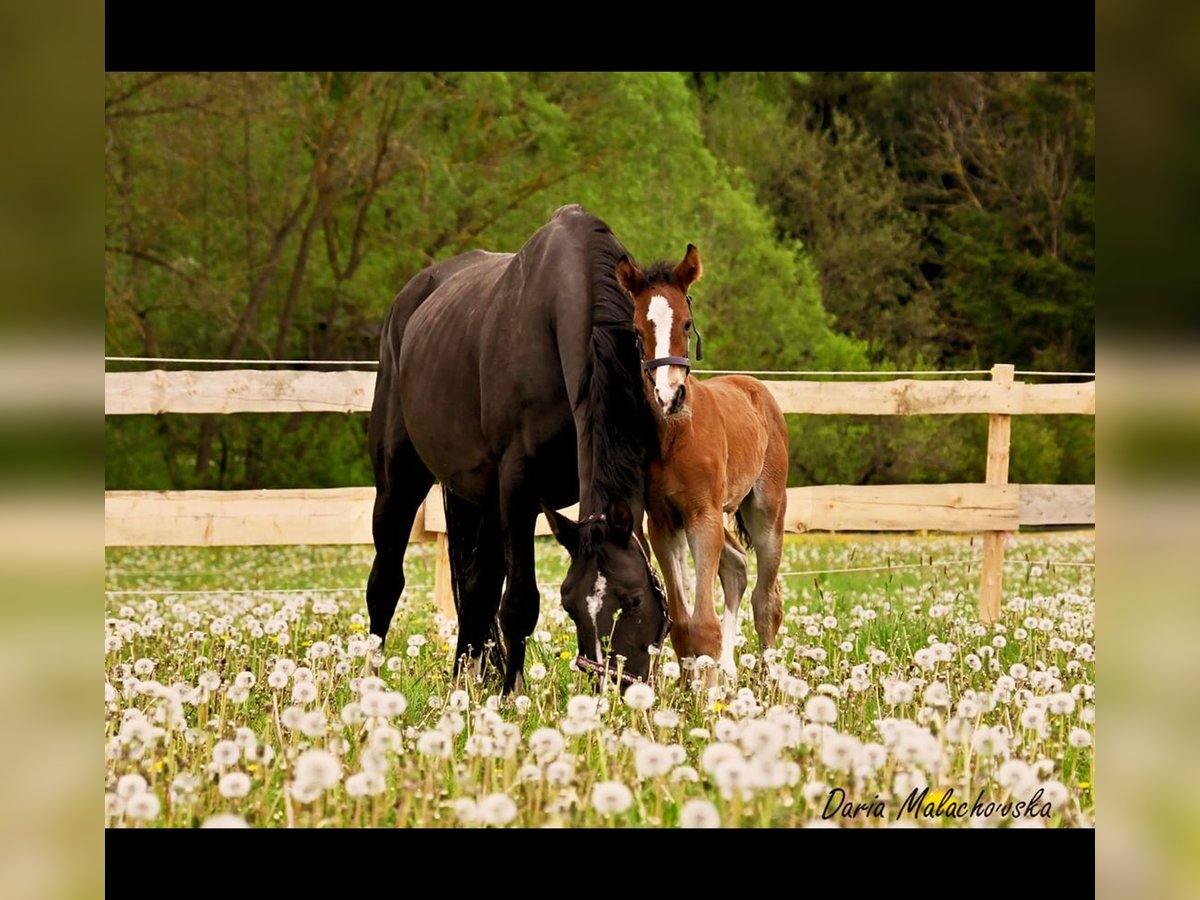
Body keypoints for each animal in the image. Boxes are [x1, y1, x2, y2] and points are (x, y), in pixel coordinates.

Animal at [364, 207, 672, 696]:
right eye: (569, 605)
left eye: (634, 599)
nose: (614, 687)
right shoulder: (518, 487)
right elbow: (521, 603)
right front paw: (514, 692)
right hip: (400, 482)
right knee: (386, 582)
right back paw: (371, 681)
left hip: (481, 498)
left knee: (476, 589)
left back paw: (464, 681)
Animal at [614, 243, 792, 681]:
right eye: (638, 331)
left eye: (687, 323)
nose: (669, 395)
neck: (675, 436)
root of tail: (754, 386)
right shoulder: (663, 523)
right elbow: (681, 624)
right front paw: (690, 688)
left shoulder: (702, 515)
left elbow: (704, 623)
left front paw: (705, 694)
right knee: (737, 566)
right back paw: (728, 671)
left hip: (766, 510)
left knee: (766, 600)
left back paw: (769, 680)